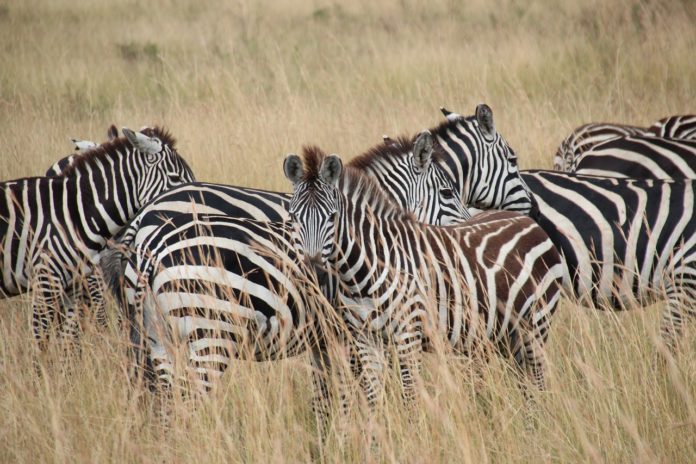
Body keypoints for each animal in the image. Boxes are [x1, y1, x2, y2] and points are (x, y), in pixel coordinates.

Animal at [0, 126, 196, 344]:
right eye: (175, 178)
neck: (77, 212)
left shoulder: (74, 283)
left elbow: (68, 336)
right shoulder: (47, 277)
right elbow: (42, 338)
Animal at [284, 147, 564, 408]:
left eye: (332, 217)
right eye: (293, 217)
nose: (314, 272)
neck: (358, 275)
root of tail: (529, 221)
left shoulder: (408, 334)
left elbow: (409, 398)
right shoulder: (365, 340)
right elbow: (374, 400)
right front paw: (376, 431)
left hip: (536, 324)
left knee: (537, 382)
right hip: (507, 332)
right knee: (525, 383)